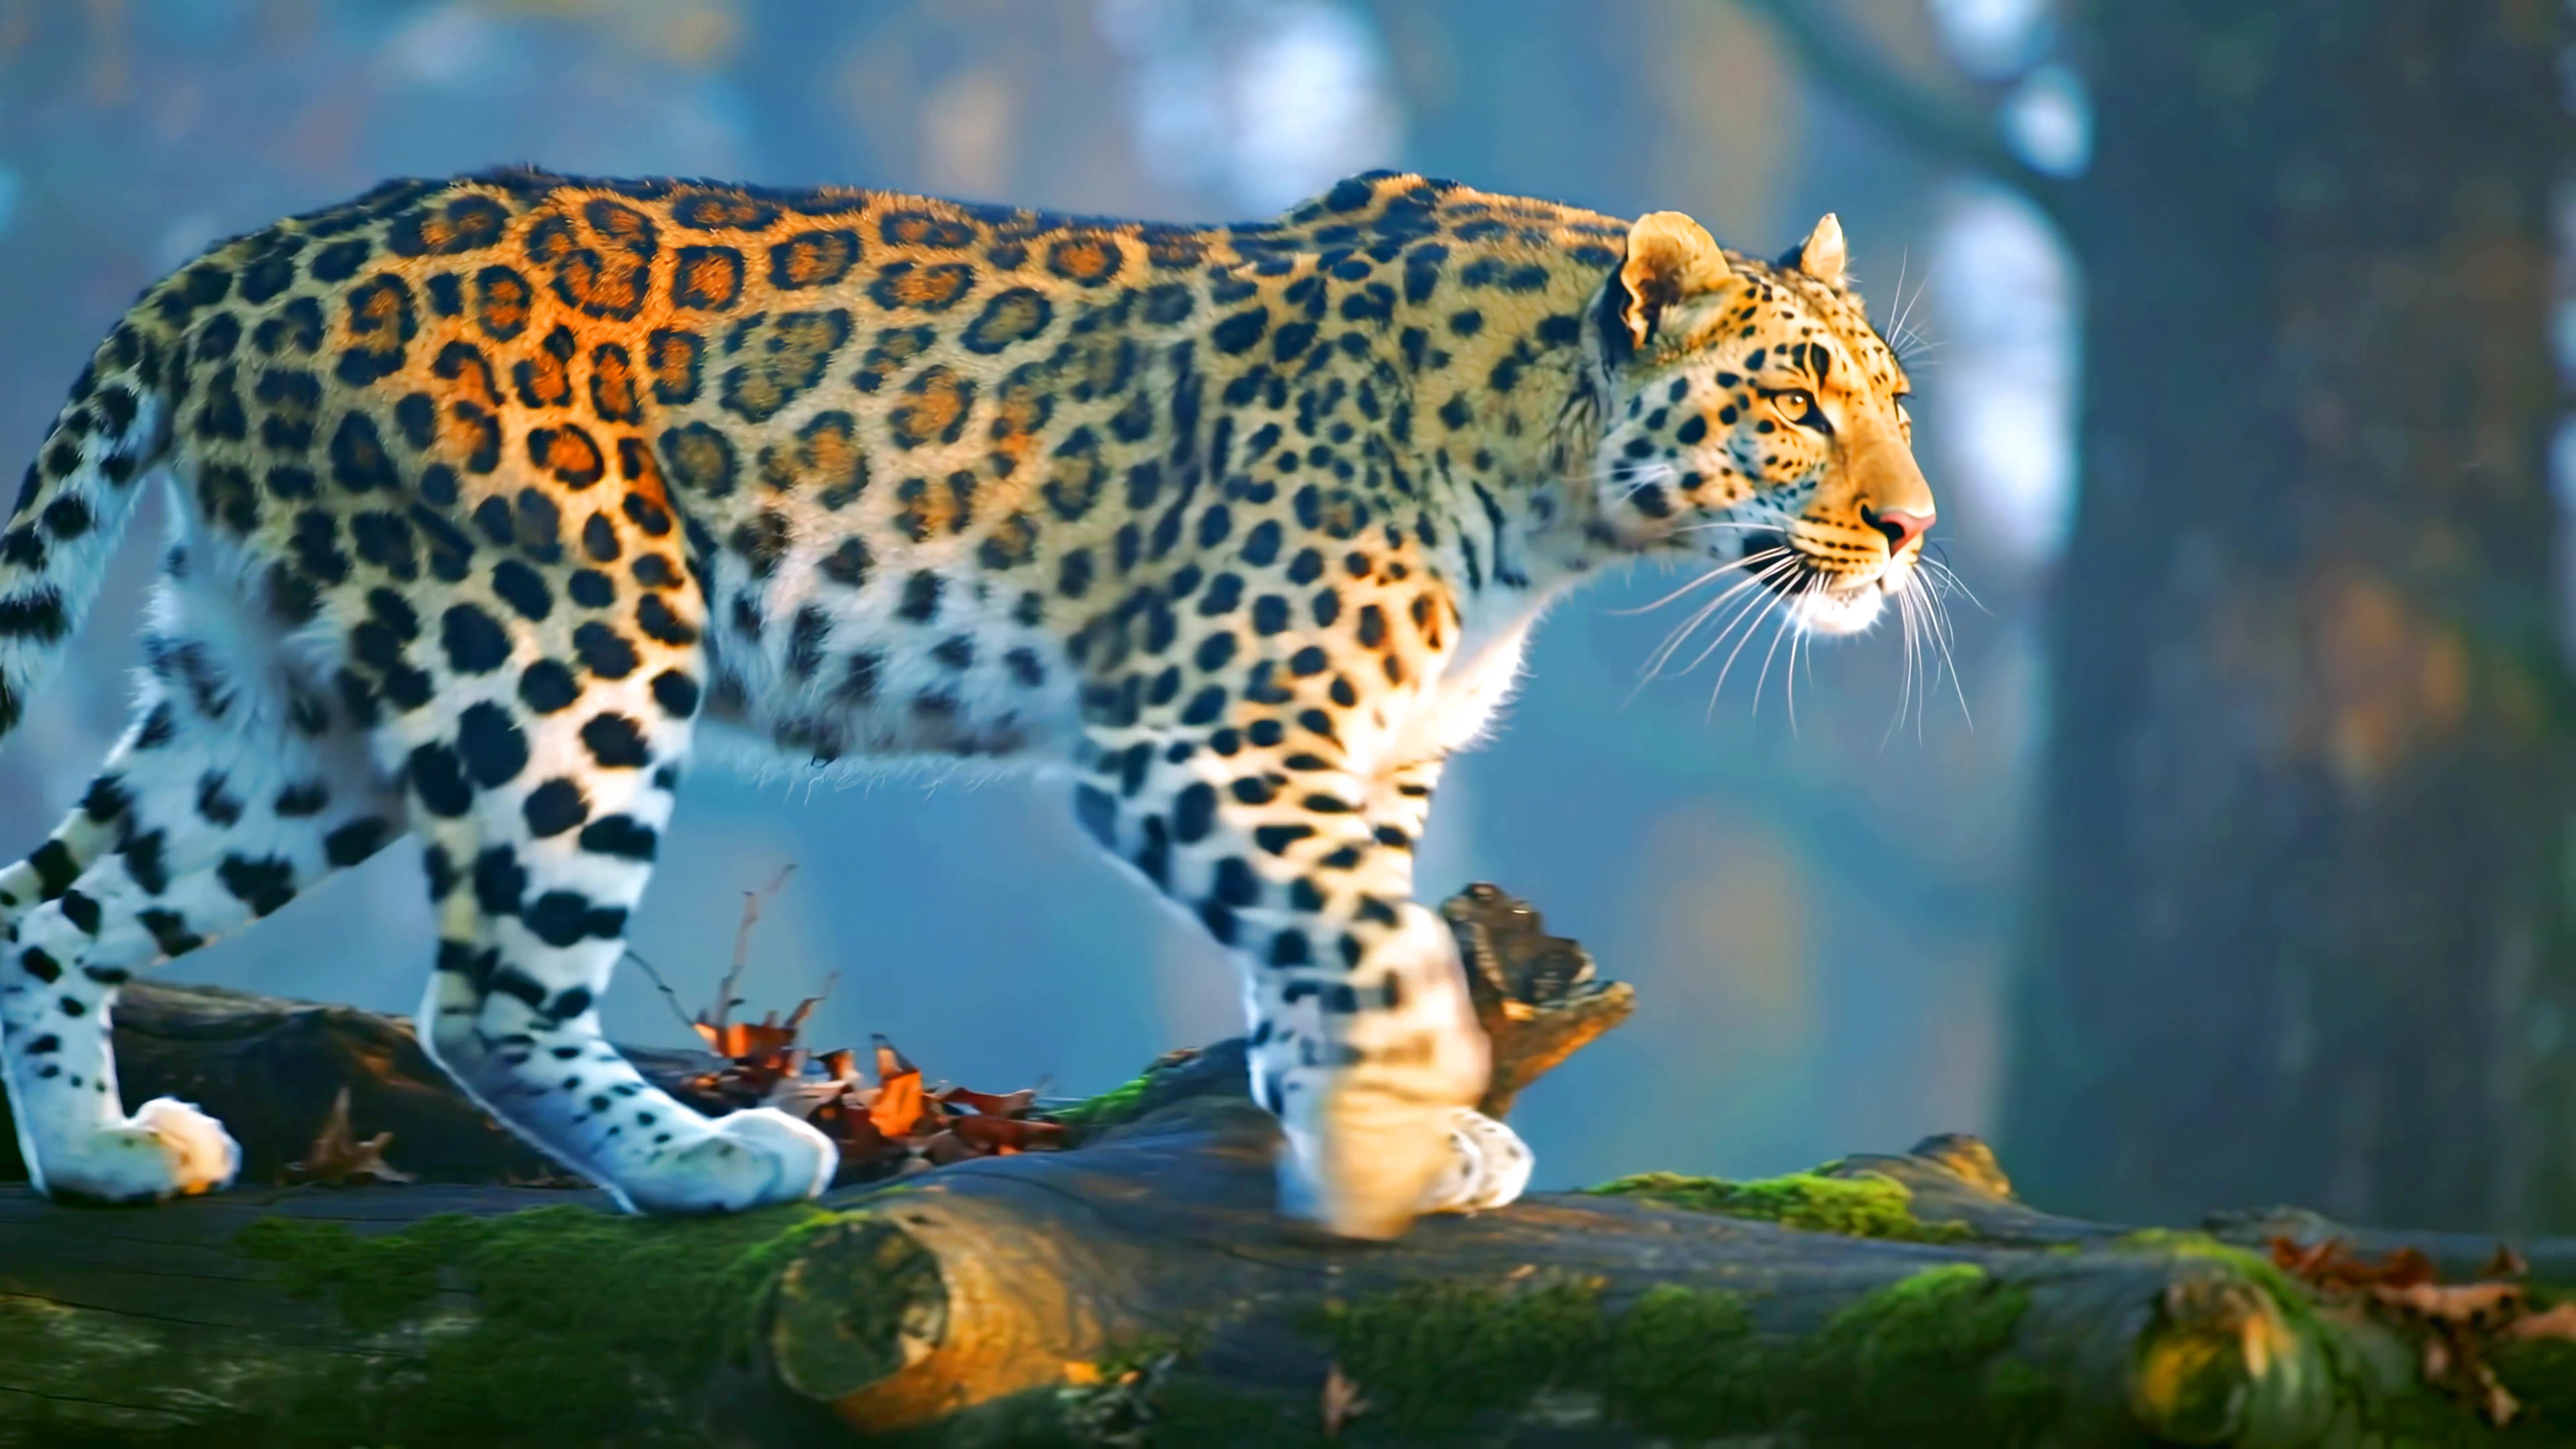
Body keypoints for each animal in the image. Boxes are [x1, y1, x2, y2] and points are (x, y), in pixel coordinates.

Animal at [0, 167, 1933, 1239]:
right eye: (1797, 401)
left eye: (1897, 399)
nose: (1916, 526)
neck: (1554, 495)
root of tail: (235, 261)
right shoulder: (1202, 739)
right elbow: (1381, 957)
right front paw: (1391, 1147)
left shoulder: (1360, 763)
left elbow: (1331, 952)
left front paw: (1368, 1127)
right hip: (567, 647)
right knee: (484, 1001)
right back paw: (707, 1165)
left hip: (278, 709)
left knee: (48, 899)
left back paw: (97, 1154)